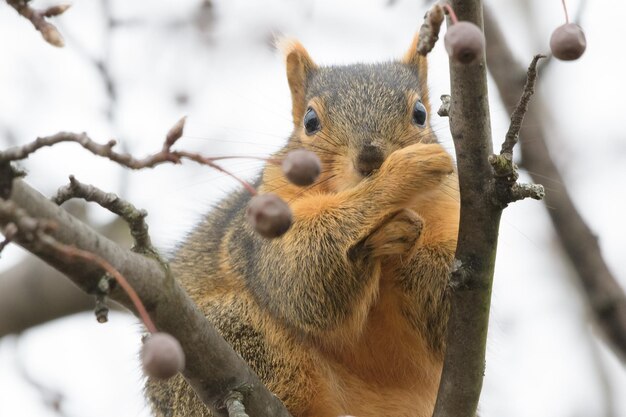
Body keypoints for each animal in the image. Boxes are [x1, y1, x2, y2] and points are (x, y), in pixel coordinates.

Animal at [146, 33, 458, 416]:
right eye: (310, 121)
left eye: (420, 114)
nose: (370, 158)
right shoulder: (259, 225)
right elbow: (296, 270)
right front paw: (400, 179)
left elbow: (443, 316)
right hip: (233, 333)